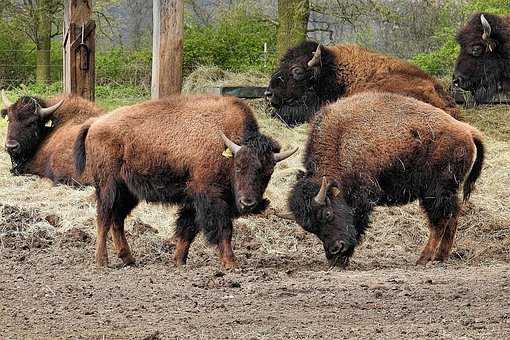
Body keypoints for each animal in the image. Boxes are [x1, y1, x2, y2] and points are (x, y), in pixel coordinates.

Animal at [74, 95, 298, 268]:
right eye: (239, 167)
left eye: (268, 173)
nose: (248, 203)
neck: (226, 147)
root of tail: (95, 123)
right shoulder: (211, 198)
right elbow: (223, 228)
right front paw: (231, 263)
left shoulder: (192, 200)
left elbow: (187, 229)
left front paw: (179, 261)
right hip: (108, 186)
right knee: (104, 218)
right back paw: (102, 261)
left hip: (129, 191)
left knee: (117, 219)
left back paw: (129, 259)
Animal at [288, 91, 484, 266]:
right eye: (310, 227)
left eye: (327, 214)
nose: (335, 249)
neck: (340, 143)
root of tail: (467, 131)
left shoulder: (362, 198)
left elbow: (358, 223)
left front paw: (343, 259)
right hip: (446, 191)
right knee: (452, 216)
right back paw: (440, 257)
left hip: (435, 192)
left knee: (440, 221)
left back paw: (423, 259)